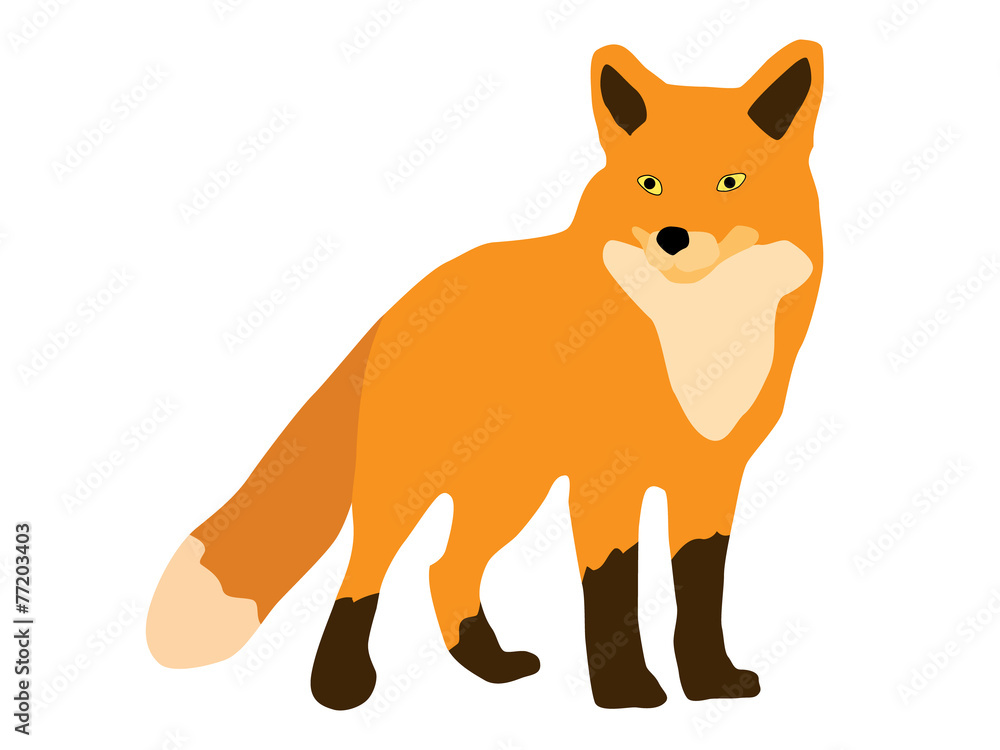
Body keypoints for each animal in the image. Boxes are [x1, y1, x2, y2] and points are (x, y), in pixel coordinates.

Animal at [148, 40, 823, 710]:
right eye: (649, 183)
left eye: (732, 182)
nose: (674, 238)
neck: (698, 342)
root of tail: (404, 303)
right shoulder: (606, 479)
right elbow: (611, 590)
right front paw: (625, 690)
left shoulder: (712, 479)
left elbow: (702, 594)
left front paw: (710, 684)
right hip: (410, 484)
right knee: (367, 567)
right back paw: (339, 682)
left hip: (510, 491)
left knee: (444, 568)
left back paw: (487, 666)